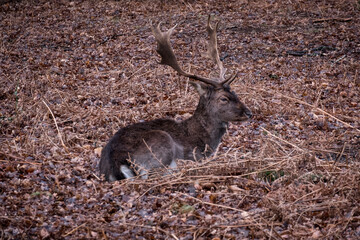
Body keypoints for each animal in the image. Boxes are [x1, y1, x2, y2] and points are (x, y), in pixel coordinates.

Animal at [97, 16, 252, 181]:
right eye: (224, 98)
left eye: (235, 93)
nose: (249, 113)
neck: (202, 140)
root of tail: (115, 164)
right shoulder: (195, 155)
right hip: (161, 144)